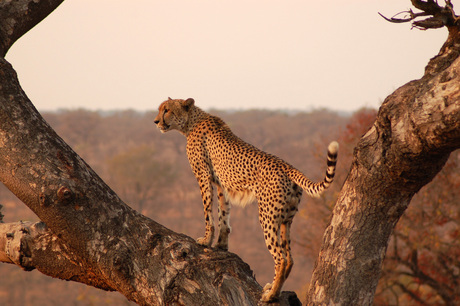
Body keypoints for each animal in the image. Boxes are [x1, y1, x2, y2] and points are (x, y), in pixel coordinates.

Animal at [155, 97, 338, 302]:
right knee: (289, 258)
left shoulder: (204, 176)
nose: (156, 121)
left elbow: (208, 211)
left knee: (280, 258)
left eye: (167, 110)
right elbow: (223, 214)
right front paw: (221, 244)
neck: (191, 121)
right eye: (161, 109)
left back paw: (271, 295)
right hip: (286, 219)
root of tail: (288, 167)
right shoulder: (222, 185)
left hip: (267, 217)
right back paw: (273, 288)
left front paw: (206, 240)